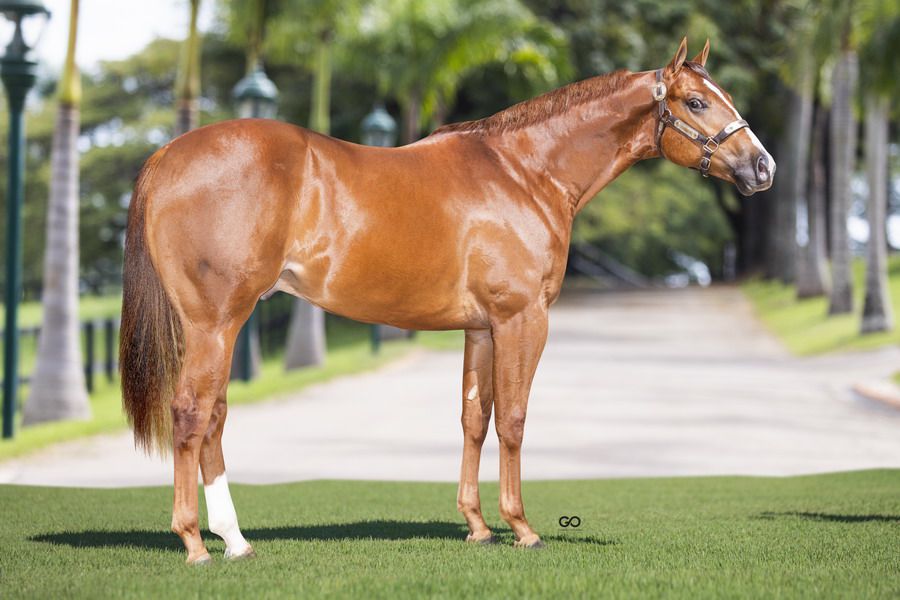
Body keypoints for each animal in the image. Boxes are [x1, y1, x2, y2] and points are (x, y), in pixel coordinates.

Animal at [119, 39, 772, 564]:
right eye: (697, 103)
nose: (762, 167)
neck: (523, 173)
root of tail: (168, 155)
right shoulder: (522, 319)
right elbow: (513, 419)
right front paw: (522, 529)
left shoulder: (480, 327)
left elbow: (473, 418)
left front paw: (477, 527)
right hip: (216, 321)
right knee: (192, 414)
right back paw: (197, 544)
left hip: (223, 325)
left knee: (214, 417)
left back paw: (235, 540)